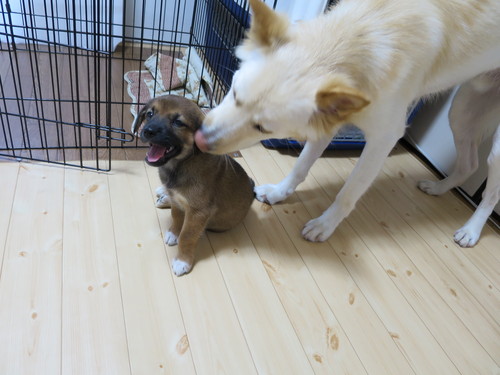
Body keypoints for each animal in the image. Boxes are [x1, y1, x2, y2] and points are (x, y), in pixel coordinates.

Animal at [132, 95, 254, 278]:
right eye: (150, 114)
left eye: (178, 122)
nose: (148, 131)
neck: (180, 164)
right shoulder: (177, 199)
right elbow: (176, 217)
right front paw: (173, 233)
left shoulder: (198, 211)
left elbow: (187, 236)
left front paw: (182, 261)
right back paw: (163, 195)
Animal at [196, 0, 500, 247]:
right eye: (235, 92)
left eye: (263, 128)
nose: (199, 141)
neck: (357, 39)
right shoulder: (326, 120)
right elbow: (300, 166)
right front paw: (279, 193)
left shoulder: (384, 138)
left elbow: (349, 192)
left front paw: (325, 225)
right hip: (461, 112)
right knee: (469, 165)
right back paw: (438, 189)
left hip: (495, 151)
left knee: (490, 194)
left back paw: (471, 230)